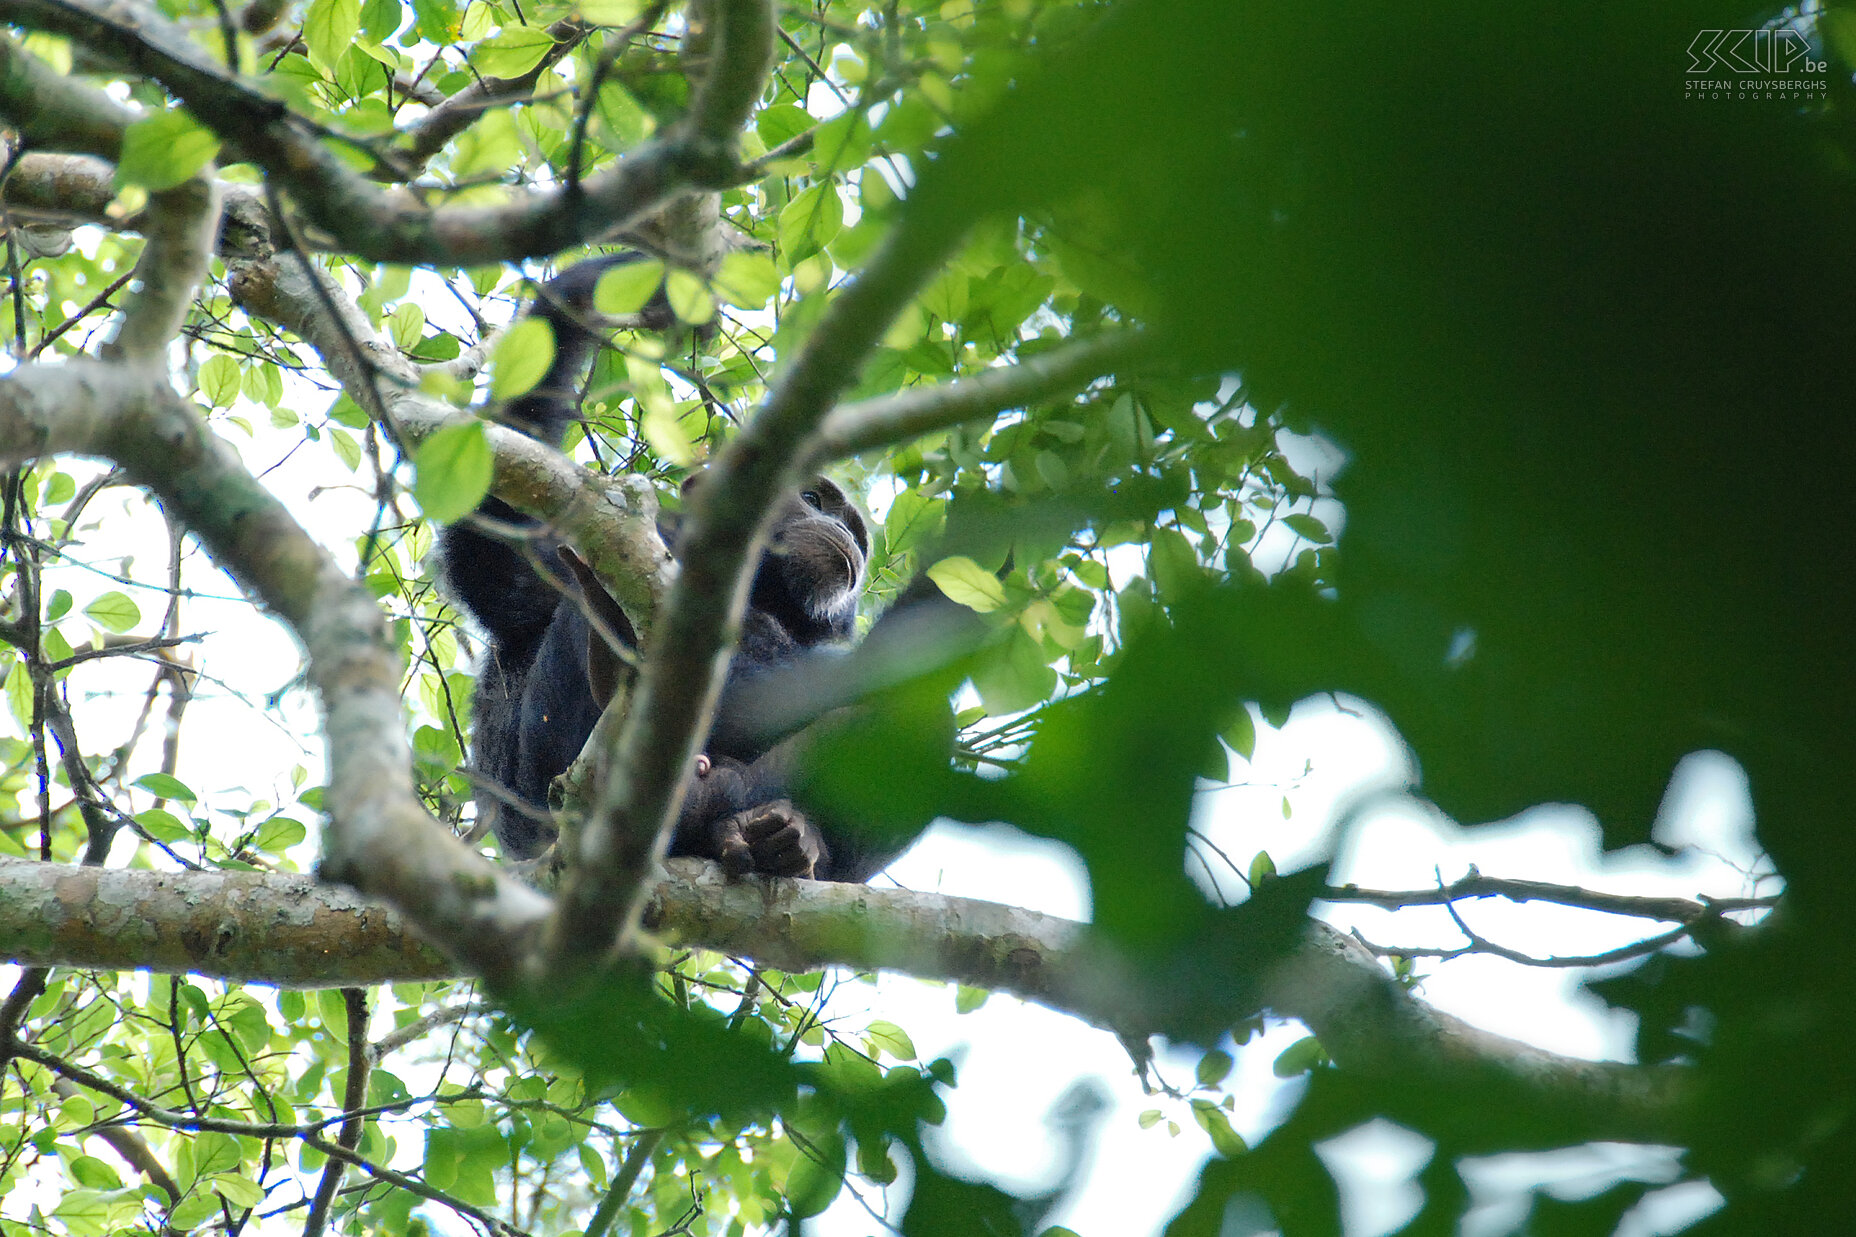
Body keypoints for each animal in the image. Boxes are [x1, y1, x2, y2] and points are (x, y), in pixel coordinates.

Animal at [438, 254, 894, 880]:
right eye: (814, 499)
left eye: (853, 528)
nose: (846, 532)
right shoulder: (611, 540)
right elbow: (495, 547)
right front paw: (617, 284)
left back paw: (773, 835)